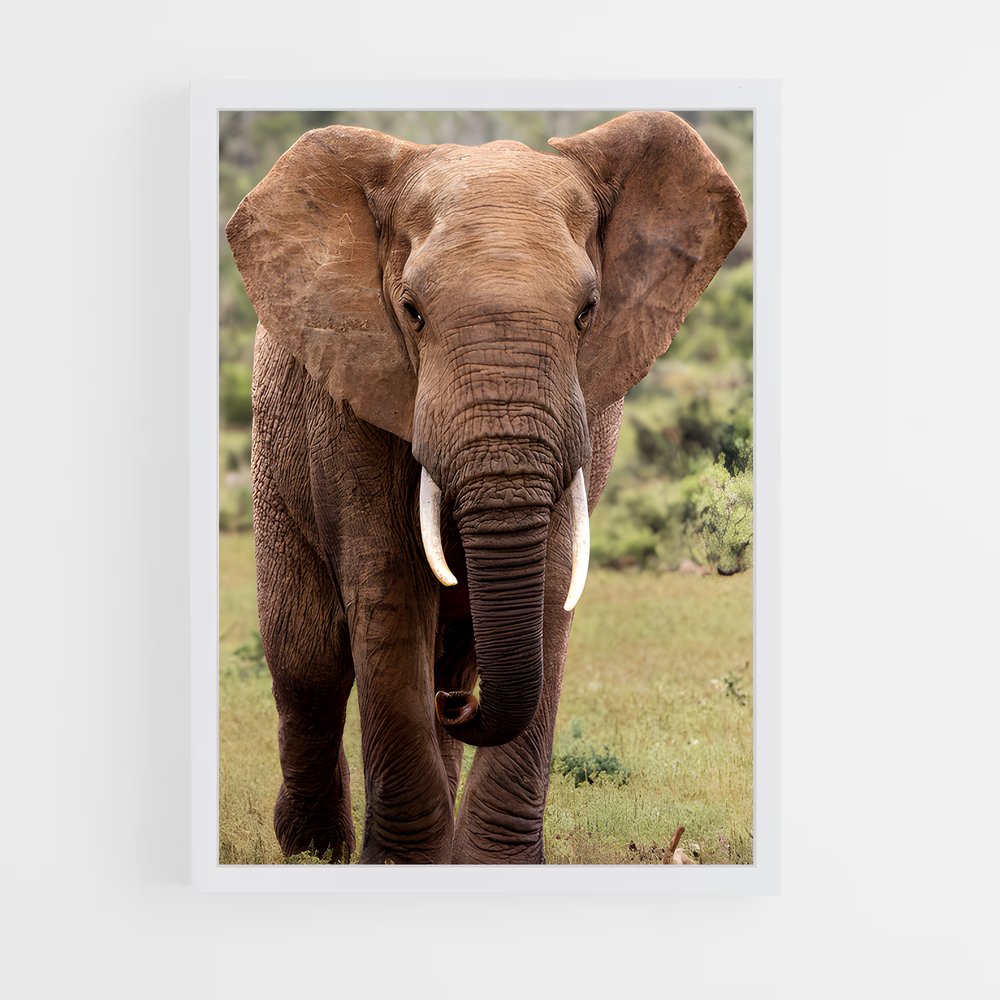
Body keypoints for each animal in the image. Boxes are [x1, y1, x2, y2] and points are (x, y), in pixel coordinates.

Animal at [226, 111, 746, 864]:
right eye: (411, 311)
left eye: (588, 311)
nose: (462, 712)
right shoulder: (353, 394)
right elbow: (387, 588)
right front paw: (401, 866)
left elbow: (553, 582)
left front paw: (489, 863)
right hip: (276, 459)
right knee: (309, 663)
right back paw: (313, 849)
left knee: (448, 655)